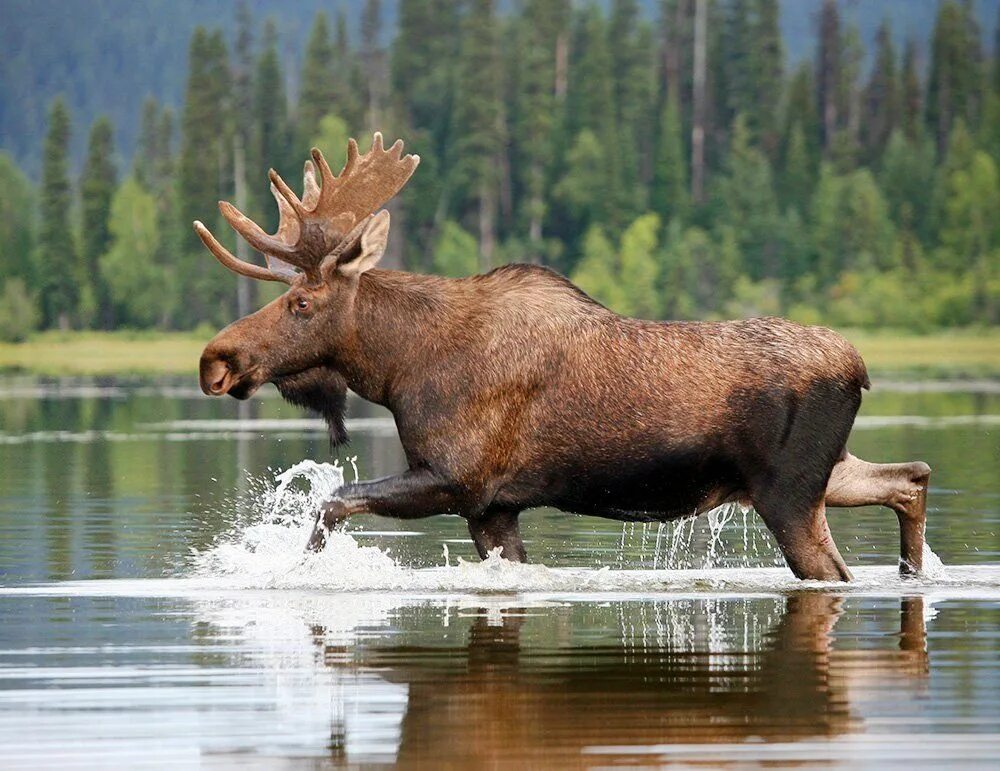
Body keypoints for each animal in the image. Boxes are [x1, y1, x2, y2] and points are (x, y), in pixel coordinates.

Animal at [195, 134, 928, 580]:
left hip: (787, 492)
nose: (215, 360)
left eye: (301, 303)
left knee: (840, 566)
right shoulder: (492, 508)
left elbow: (333, 500)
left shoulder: (458, 478)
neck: (398, 370)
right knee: (910, 476)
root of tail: (859, 368)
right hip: (823, 472)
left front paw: (303, 569)